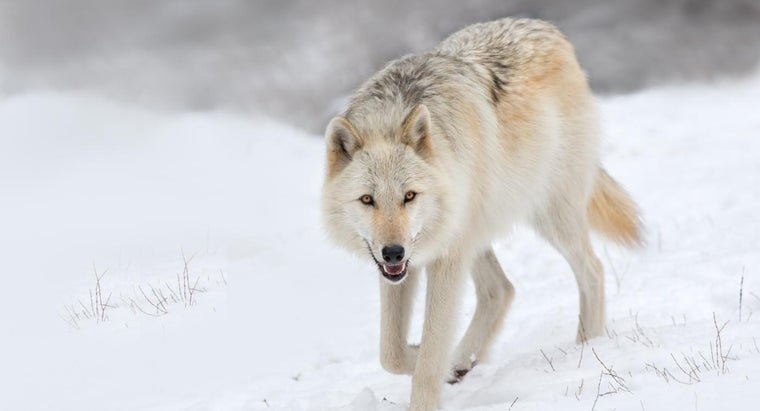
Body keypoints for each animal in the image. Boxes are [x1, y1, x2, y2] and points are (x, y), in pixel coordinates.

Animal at [321, 17, 641, 411]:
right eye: (367, 200)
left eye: (409, 196)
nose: (393, 252)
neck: (392, 114)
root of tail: (548, 29)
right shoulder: (403, 268)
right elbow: (391, 353)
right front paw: (438, 362)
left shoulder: (443, 259)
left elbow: (428, 353)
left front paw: (429, 382)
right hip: (473, 232)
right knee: (501, 289)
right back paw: (463, 359)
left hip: (549, 216)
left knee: (592, 270)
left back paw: (587, 347)